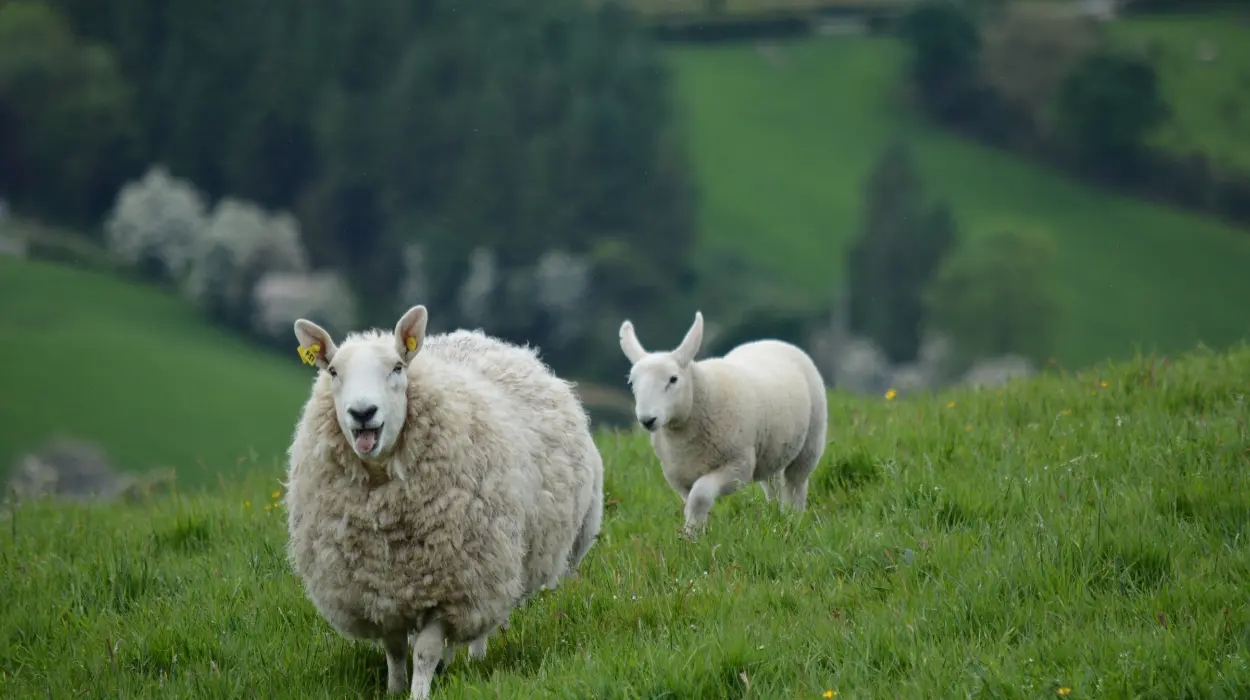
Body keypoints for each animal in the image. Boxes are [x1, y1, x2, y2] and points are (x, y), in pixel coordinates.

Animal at [284, 305, 604, 699]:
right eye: (332, 371)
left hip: (494, 564)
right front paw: (394, 689)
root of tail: (483, 339)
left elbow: (425, 651)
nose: (362, 413)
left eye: (397, 367)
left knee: (484, 620)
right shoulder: (377, 589)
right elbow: (394, 648)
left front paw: (419, 692)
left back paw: (474, 659)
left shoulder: (451, 586)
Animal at [618, 311, 828, 539]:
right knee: (773, 483)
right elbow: (691, 503)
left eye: (673, 379)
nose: (647, 420)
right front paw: (694, 534)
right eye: (632, 383)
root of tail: (770, 341)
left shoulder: (738, 466)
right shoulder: (679, 477)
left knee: (795, 483)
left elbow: (700, 495)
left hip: (810, 442)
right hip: (771, 449)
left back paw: (792, 518)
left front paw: (692, 536)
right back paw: (775, 517)